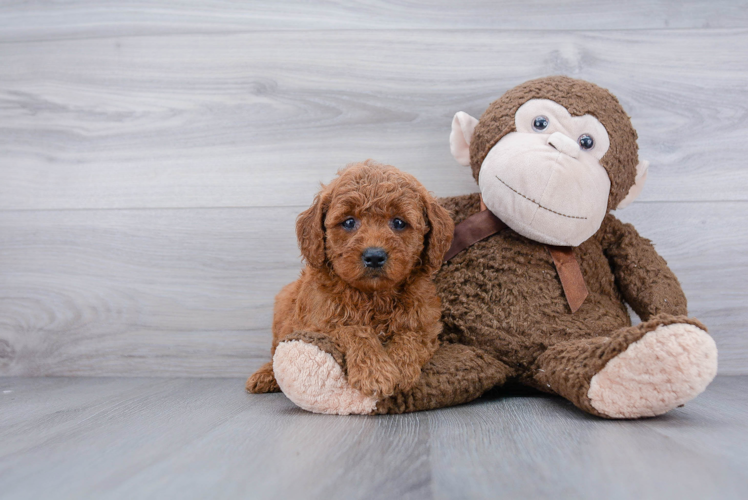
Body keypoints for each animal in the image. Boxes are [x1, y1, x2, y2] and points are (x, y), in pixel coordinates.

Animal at [248, 161, 452, 402]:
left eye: (399, 222)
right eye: (349, 222)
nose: (374, 256)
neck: (375, 296)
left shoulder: (426, 323)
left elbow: (410, 336)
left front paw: (400, 369)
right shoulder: (321, 323)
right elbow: (354, 330)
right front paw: (375, 373)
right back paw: (265, 375)